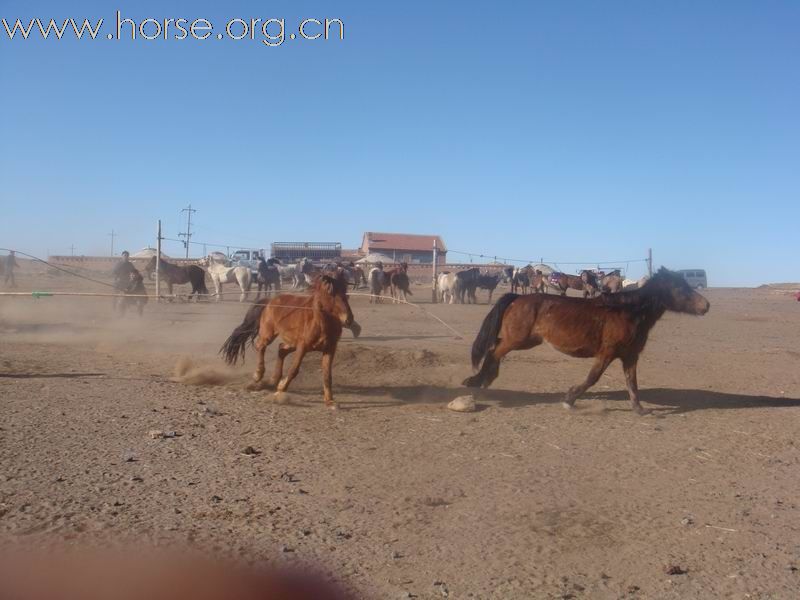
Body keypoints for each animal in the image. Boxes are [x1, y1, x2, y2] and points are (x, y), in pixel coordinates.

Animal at [217, 272, 358, 408]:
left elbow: (327, 375)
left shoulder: (329, 349)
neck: (320, 322)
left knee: (281, 349)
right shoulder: (302, 347)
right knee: (260, 346)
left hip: (291, 343)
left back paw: (273, 380)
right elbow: (294, 370)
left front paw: (330, 402)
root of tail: (270, 301)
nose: (348, 319)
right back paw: (258, 375)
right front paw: (279, 392)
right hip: (269, 335)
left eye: (345, 289)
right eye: (330, 292)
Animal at [462, 268, 712, 414]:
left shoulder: (630, 356)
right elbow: (593, 378)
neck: (627, 312)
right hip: (517, 339)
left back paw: (484, 379)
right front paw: (569, 399)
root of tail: (518, 298)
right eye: (679, 287)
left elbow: (632, 382)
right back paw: (479, 381)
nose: (706, 306)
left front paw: (639, 409)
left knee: (495, 350)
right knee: (493, 352)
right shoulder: (607, 353)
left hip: (526, 341)